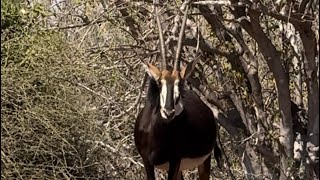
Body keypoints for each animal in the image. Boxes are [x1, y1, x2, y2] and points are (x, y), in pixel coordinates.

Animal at [134, 1, 221, 179]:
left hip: (203, 161)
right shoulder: (147, 161)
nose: (168, 112)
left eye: (180, 85)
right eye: (159, 83)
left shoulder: (174, 160)